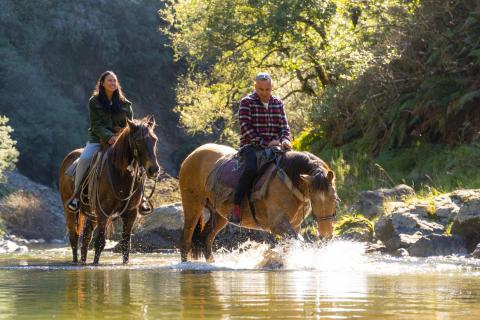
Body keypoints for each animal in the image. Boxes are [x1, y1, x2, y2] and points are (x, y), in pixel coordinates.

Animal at [59, 116, 160, 264]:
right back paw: (76, 261)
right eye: (138, 141)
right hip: (70, 211)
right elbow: (100, 243)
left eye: (154, 139)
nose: (154, 170)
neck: (121, 174)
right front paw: (95, 264)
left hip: (91, 214)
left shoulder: (131, 213)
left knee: (86, 238)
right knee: (74, 237)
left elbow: (126, 244)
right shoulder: (104, 213)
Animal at [177, 144, 338, 262]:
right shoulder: (277, 225)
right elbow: (298, 241)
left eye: (334, 198)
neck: (289, 181)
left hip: (220, 216)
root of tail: (194, 153)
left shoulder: (295, 225)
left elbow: (290, 245)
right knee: (186, 241)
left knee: (206, 240)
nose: (326, 233)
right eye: (314, 199)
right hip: (192, 206)